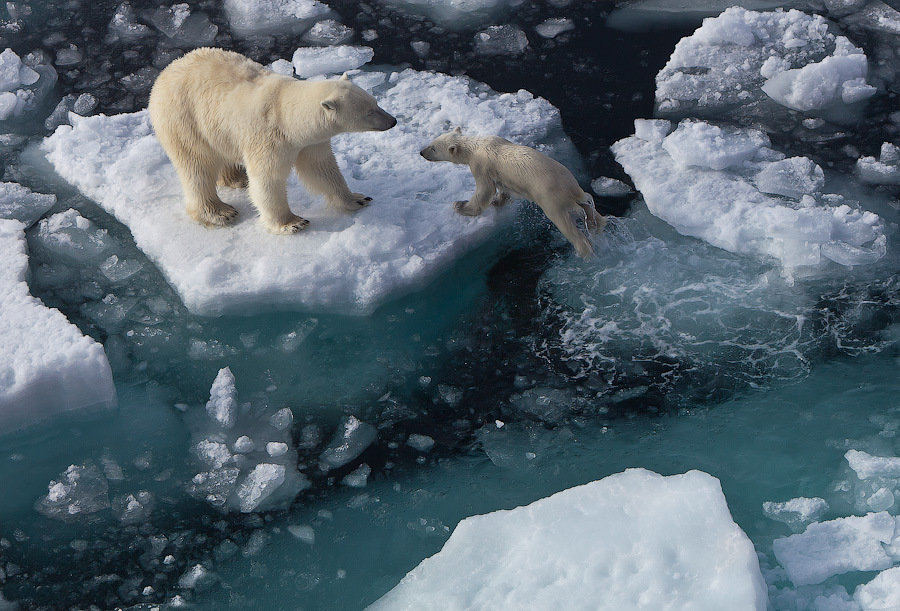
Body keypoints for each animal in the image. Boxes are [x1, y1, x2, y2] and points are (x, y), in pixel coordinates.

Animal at [148, 47, 394, 233]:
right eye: (368, 112)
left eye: (375, 101)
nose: (393, 121)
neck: (287, 114)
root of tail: (164, 73)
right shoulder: (269, 137)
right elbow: (268, 179)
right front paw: (293, 223)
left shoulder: (309, 143)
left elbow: (321, 169)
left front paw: (358, 199)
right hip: (184, 119)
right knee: (197, 165)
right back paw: (220, 212)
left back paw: (237, 178)